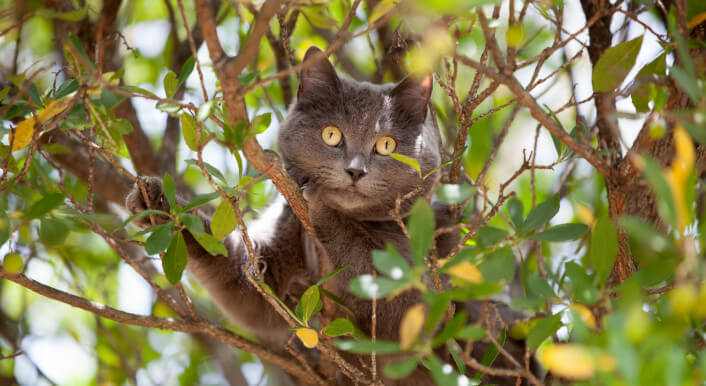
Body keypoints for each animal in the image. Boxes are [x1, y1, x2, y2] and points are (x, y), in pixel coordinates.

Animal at [126, 46, 532, 386]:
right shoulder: (280, 245)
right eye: (332, 135)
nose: (355, 170)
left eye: (386, 145)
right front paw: (157, 205)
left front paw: (321, 199)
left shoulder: (424, 275)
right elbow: (241, 280)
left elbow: (390, 304)